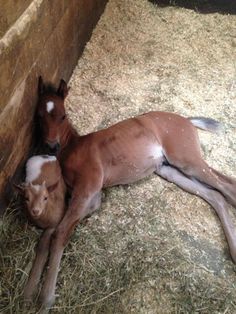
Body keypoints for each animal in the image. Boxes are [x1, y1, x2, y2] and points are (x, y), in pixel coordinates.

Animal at [31, 76, 236, 310]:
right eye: (39, 116)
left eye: (63, 115)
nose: (51, 146)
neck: (74, 147)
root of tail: (186, 119)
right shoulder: (92, 198)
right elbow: (51, 232)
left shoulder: (88, 188)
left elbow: (60, 233)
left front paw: (45, 299)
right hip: (169, 169)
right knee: (215, 195)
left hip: (186, 159)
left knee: (227, 185)